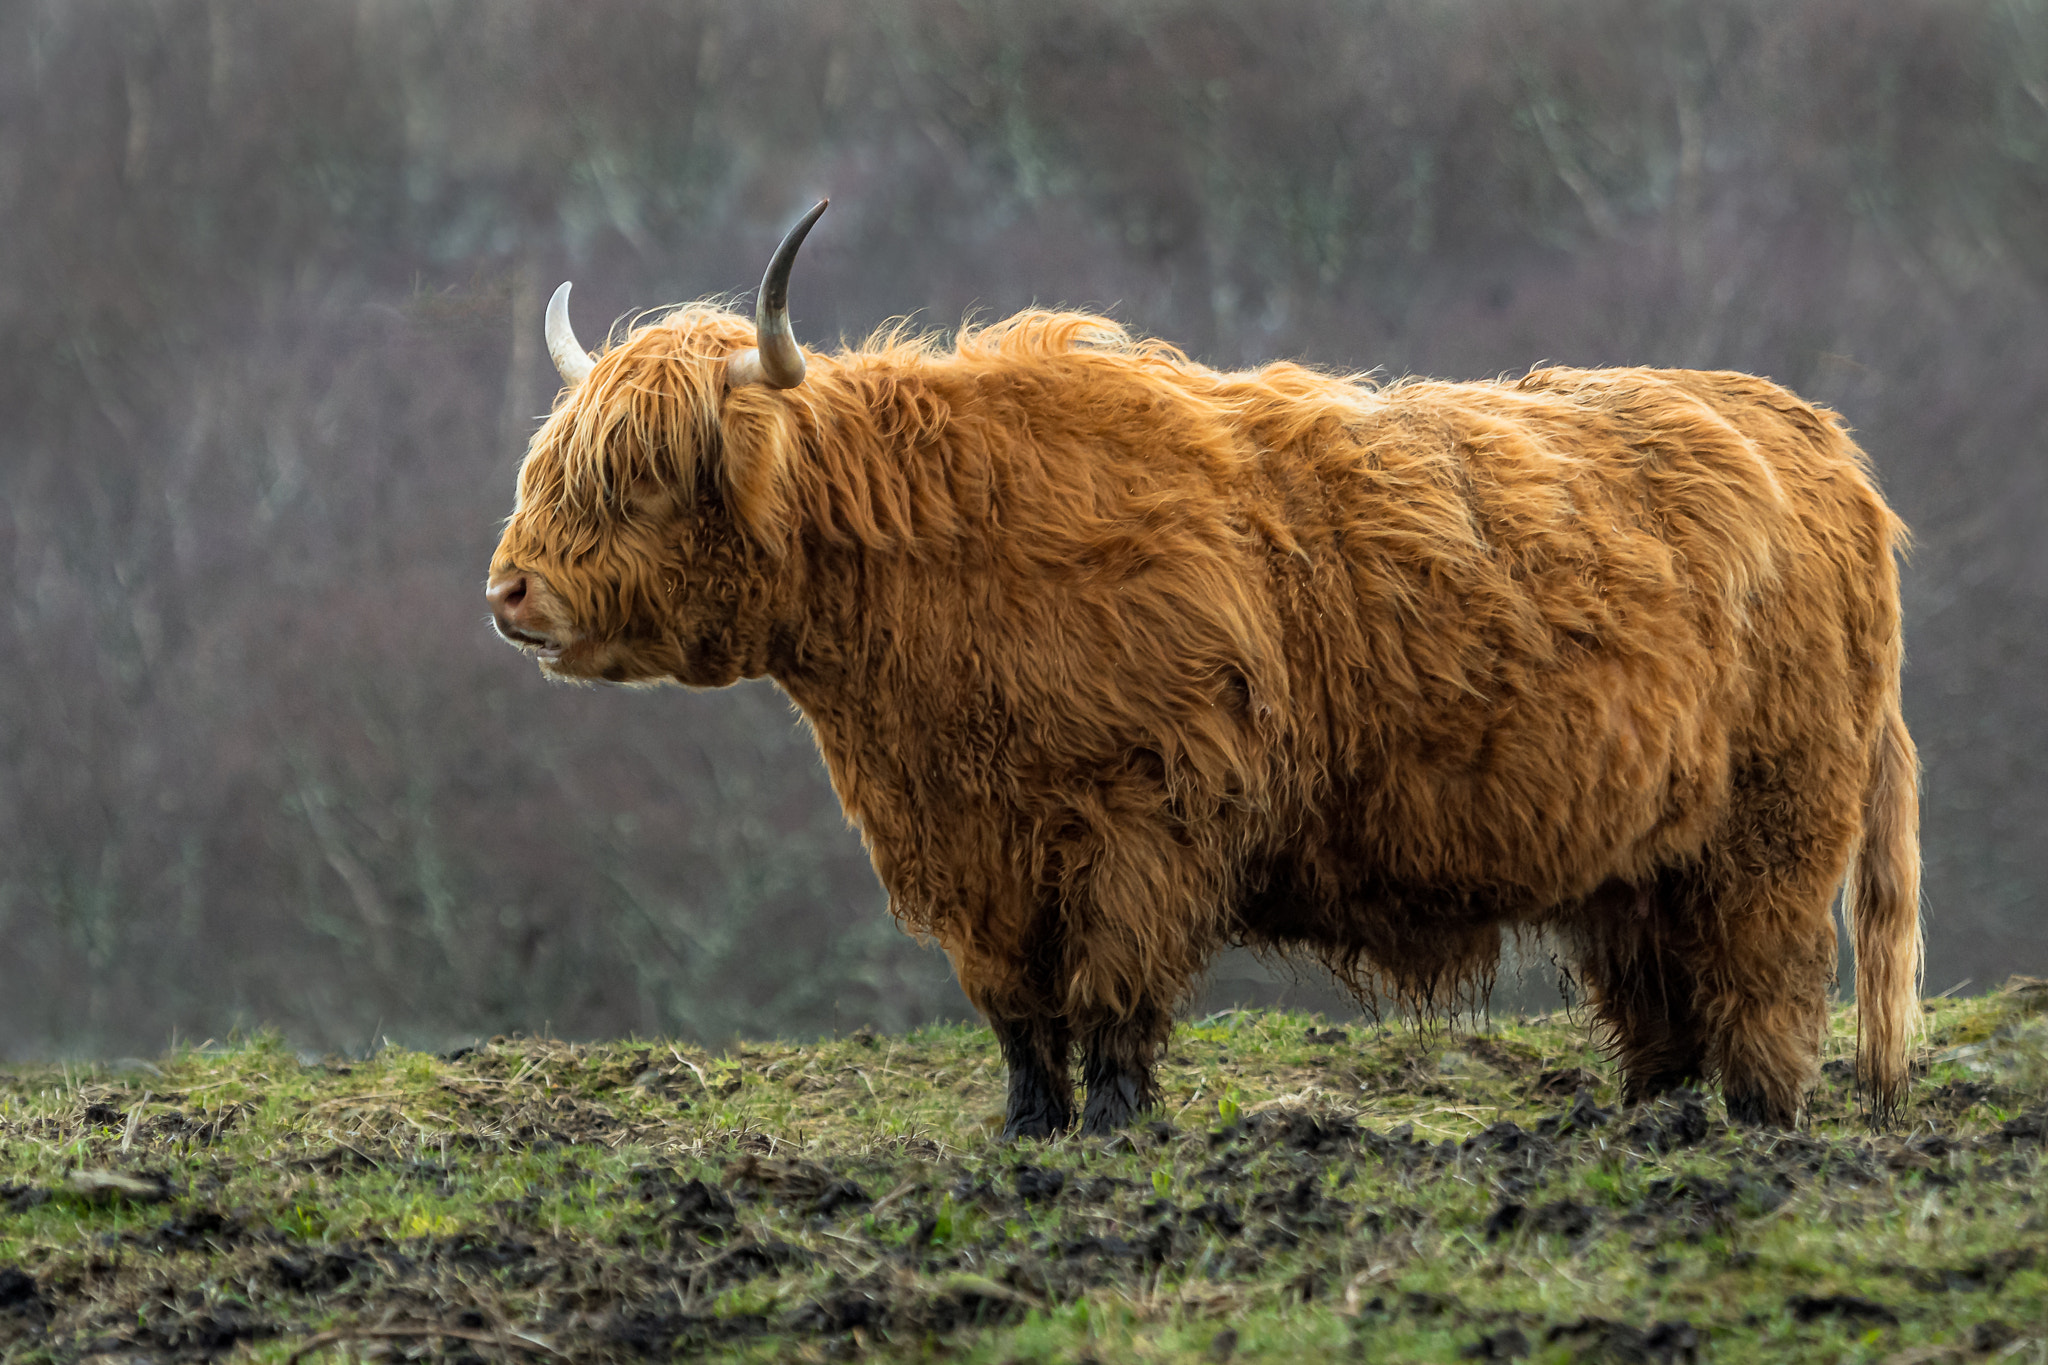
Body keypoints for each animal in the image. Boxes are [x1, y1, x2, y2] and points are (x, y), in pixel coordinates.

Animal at [487, 202, 1921, 1137]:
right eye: (549, 465)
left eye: (637, 477)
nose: (509, 590)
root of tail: (1813, 441)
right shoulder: (964, 845)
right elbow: (1014, 1007)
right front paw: (1030, 1134)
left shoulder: (1146, 812)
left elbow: (1112, 989)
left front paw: (1117, 1127)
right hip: (1637, 855)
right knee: (1658, 994)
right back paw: (1648, 1122)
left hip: (1773, 823)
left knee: (1766, 982)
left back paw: (1748, 1134)